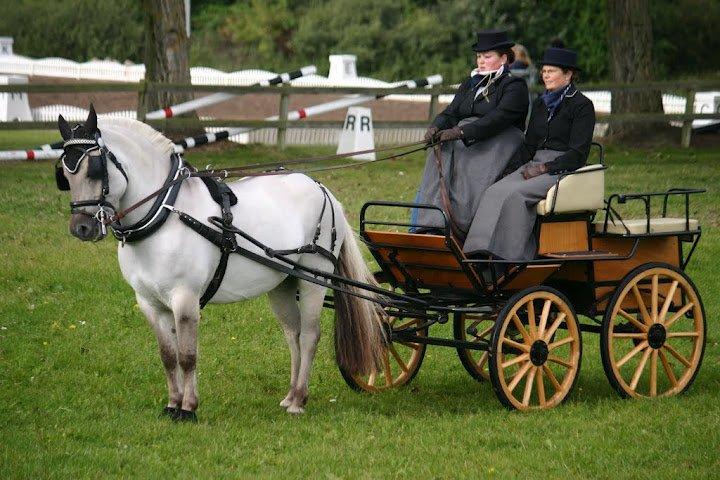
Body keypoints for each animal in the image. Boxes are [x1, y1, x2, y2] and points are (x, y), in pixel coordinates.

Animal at [58, 110, 386, 418]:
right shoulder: (149, 303)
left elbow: (187, 356)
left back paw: (299, 401)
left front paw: (188, 409)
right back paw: (290, 395)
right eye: (64, 174)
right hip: (282, 282)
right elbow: (168, 356)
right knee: (292, 336)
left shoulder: (185, 299)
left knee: (308, 336)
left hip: (313, 280)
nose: (81, 228)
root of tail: (322, 189)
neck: (165, 213)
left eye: (94, 170)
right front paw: (172, 404)